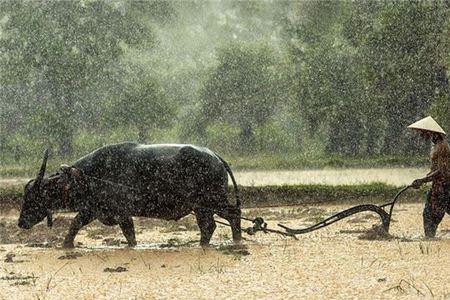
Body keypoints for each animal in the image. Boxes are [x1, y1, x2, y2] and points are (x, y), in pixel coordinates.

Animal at [18, 142, 243, 247]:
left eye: (33, 197)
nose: (21, 222)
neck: (89, 176)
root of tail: (215, 157)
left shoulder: (121, 212)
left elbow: (129, 234)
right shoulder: (93, 210)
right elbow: (75, 225)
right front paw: (66, 245)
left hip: (213, 201)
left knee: (232, 215)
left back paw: (236, 241)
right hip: (202, 207)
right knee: (210, 226)